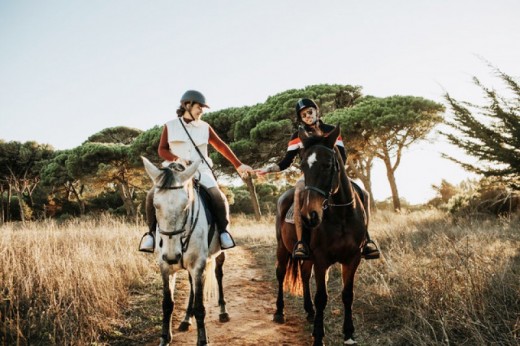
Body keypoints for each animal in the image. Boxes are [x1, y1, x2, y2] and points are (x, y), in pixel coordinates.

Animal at [143, 157, 231, 346]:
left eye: (186, 205)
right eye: (155, 205)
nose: (172, 255)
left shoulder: (198, 265)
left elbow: (200, 307)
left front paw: (202, 340)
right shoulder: (165, 267)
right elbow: (167, 303)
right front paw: (165, 338)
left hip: (218, 255)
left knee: (219, 274)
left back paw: (223, 311)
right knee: (192, 286)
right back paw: (185, 319)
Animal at [274, 125, 368, 344]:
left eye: (327, 165)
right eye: (302, 166)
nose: (309, 215)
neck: (342, 216)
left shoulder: (353, 258)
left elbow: (347, 294)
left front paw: (349, 334)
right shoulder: (321, 259)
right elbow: (321, 297)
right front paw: (318, 336)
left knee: (304, 275)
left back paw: (309, 312)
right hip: (282, 248)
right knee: (280, 274)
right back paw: (279, 312)